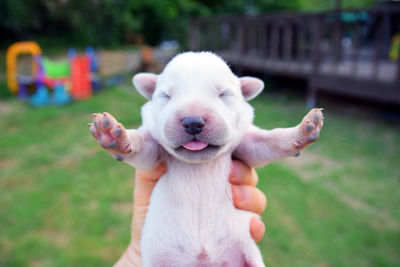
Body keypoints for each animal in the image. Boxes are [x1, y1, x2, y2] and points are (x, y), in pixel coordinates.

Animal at [89, 51, 324, 266]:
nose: (193, 122)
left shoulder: (246, 145)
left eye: (224, 94)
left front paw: (302, 131)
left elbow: (268, 141)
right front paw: (113, 135)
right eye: (166, 96)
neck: (199, 164)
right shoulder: (155, 151)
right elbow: (140, 145)